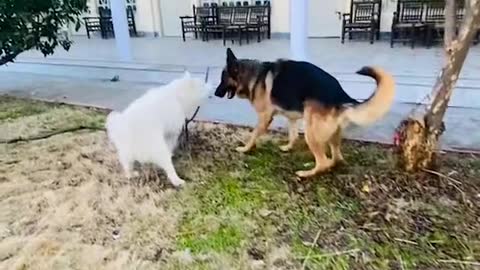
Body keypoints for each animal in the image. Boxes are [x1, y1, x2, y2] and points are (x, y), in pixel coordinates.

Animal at [216, 48, 396, 178]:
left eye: (223, 79)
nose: (216, 93)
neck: (254, 75)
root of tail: (340, 95)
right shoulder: (292, 117)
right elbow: (293, 135)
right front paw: (288, 147)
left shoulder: (265, 117)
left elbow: (253, 134)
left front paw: (245, 148)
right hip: (330, 133)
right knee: (335, 158)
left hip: (311, 132)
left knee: (323, 162)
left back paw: (306, 173)